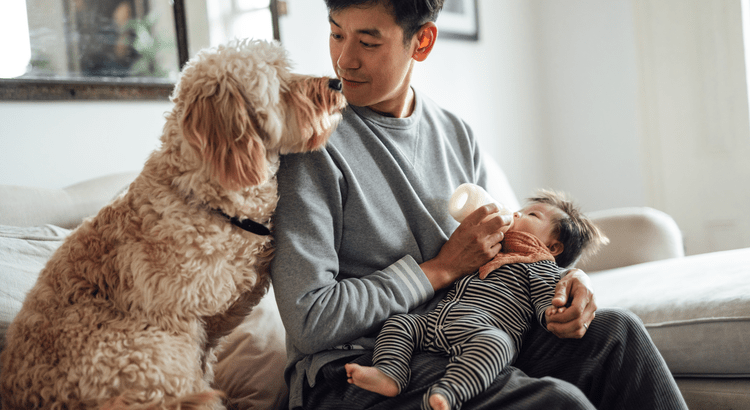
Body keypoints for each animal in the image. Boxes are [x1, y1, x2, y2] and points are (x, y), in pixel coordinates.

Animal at [1, 39, 348, 410]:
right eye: (280, 84)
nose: (337, 83)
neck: (202, 198)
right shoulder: (180, 319)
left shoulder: (213, 324)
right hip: (146, 355)